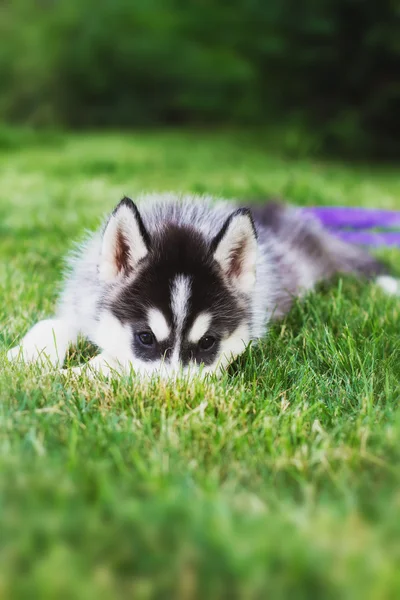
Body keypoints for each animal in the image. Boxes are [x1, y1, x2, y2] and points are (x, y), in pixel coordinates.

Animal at [7, 195, 400, 378]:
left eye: (208, 342)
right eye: (145, 337)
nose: (174, 393)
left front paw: (83, 372)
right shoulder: (84, 302)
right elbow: (51, 324)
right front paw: (26, 359)